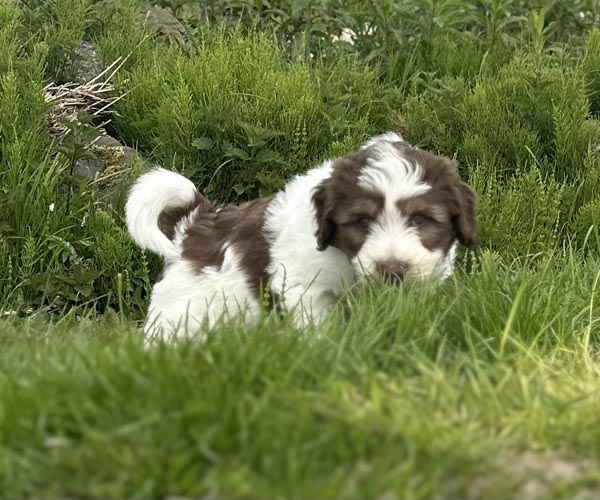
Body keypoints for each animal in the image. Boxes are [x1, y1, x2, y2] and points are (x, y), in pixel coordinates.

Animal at [126, 132, 477, 341]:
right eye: (362, 222)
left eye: (419, 219)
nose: (392, 270)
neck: (345, 258)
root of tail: (198, 217)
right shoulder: (306, 287)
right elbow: (317, 328)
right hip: (181, 312)